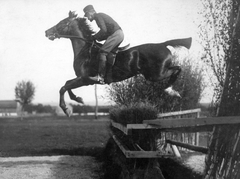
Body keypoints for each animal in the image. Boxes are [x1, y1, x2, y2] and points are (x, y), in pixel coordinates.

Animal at [44, 11, 191, 117]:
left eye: (62, 23)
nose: (47, 32)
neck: (85, 50)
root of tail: (162, 44)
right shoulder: (82, 79)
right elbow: (66, 84)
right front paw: (78, 99)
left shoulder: (86, 79)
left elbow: (64, 87)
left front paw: (67, 109)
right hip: (155, 74)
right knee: (177, 69)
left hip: (156, 74)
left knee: (177, 69)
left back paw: (170, 90)